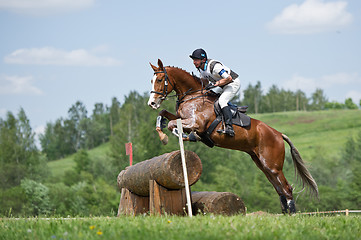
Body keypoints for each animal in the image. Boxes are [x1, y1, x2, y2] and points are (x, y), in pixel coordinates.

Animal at [148, 59, 316, 214]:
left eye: (160, 80)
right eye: (151, 80)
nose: (151, 103)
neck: (192, 95)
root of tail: (278, 134)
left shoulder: (197, 123)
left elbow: (174, 125)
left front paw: (186, 136)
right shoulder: (181, 117)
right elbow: (164, 114)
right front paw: (163, 133)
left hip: (272, 165)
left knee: (287, 188)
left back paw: (292, 215)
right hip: (262, 164)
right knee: (279, 189)